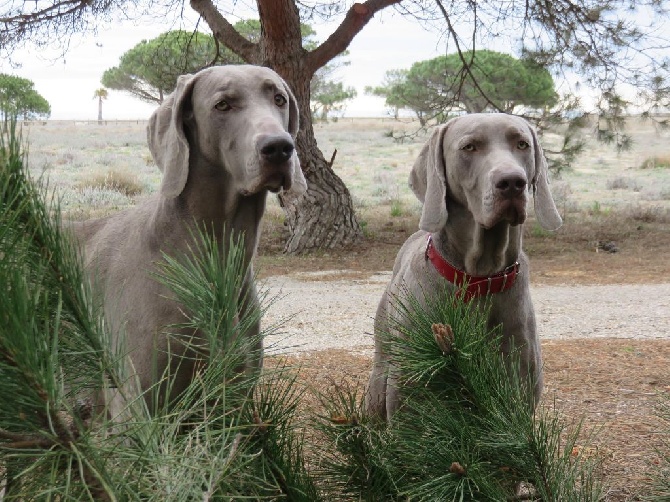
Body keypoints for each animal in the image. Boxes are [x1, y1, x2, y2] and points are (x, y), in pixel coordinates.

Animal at [364, 113, 564, 420]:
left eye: (522, 144)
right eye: (469, 147)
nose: (512, 182)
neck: (478, 279)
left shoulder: (519, 385)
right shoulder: (406, 396)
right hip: (382, 369)